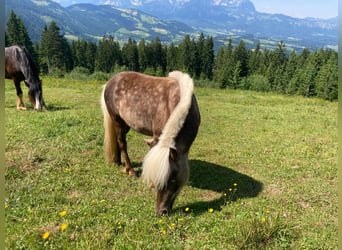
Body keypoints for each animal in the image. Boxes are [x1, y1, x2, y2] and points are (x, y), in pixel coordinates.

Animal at [100, 71, 200, 215]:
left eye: (172, 180)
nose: (161, 211)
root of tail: (110, 82)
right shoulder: (157, 137)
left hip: (126, 123)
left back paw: (119, 163)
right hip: (117, 120)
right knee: (122, 143)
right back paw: (131, 171)